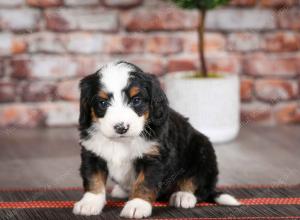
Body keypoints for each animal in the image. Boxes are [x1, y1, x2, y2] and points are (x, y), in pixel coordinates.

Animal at [72, 60, 239, 218]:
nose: (121, 127)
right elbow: (93, 179)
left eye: (136, 100)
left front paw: (137, 206)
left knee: (198, 182)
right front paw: (90, 203)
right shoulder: (92, 152)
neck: (122, 141)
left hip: (203, 151)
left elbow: (145, 183)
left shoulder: (154, 157)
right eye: (103, 103)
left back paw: (183, 196)